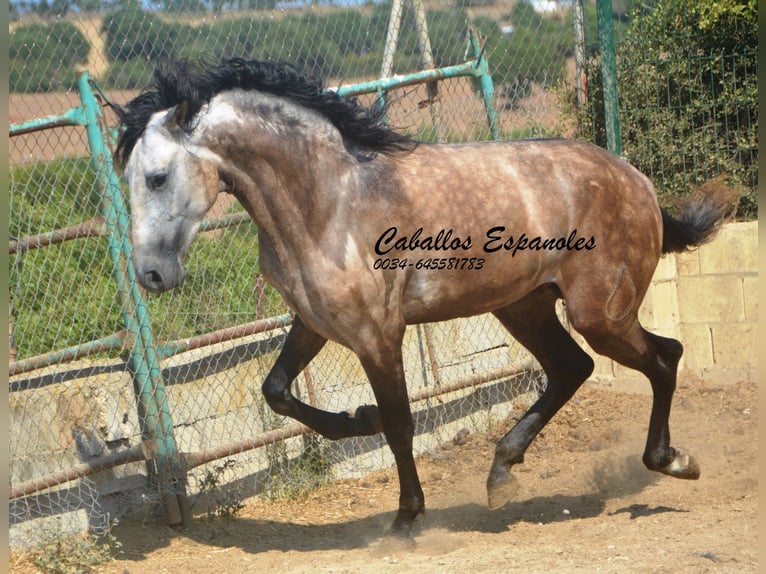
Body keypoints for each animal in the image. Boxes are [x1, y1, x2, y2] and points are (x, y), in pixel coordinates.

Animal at [115, 58, 736, 538]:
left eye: (156, 177)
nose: (151, 274)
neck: (329, 201)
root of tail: (637, 180)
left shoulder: (377, 333)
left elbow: (399, 424)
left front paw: (406, 518)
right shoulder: (316, 321)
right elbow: (278, 393)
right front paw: (357, 419)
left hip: (598, 312)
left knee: (664, 357)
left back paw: (671, 460)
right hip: (526, 305)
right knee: (573, 368)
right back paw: (501, 474)